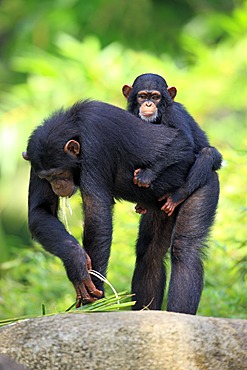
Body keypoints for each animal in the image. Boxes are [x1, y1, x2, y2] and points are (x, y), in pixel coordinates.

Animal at [22, 99, 199, 308]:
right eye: (47, 177)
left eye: (59, 173)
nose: (57, 185)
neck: (75, 127)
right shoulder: (35, 159)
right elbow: (40, 210)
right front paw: (75, 261)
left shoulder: (95, 144)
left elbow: (97, 211)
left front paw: (94, 302)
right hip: (161, 208)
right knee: (150, 255)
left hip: (199, 183)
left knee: (185, 250)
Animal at [122, 72, 221, 312]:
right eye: (142, 96)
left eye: (156, 97)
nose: (148, 104)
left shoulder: (174, 115)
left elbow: (183, 144)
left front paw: (147, 174)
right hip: (159, 208)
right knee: (150, 253)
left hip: (206, 185)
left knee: (185, 250)